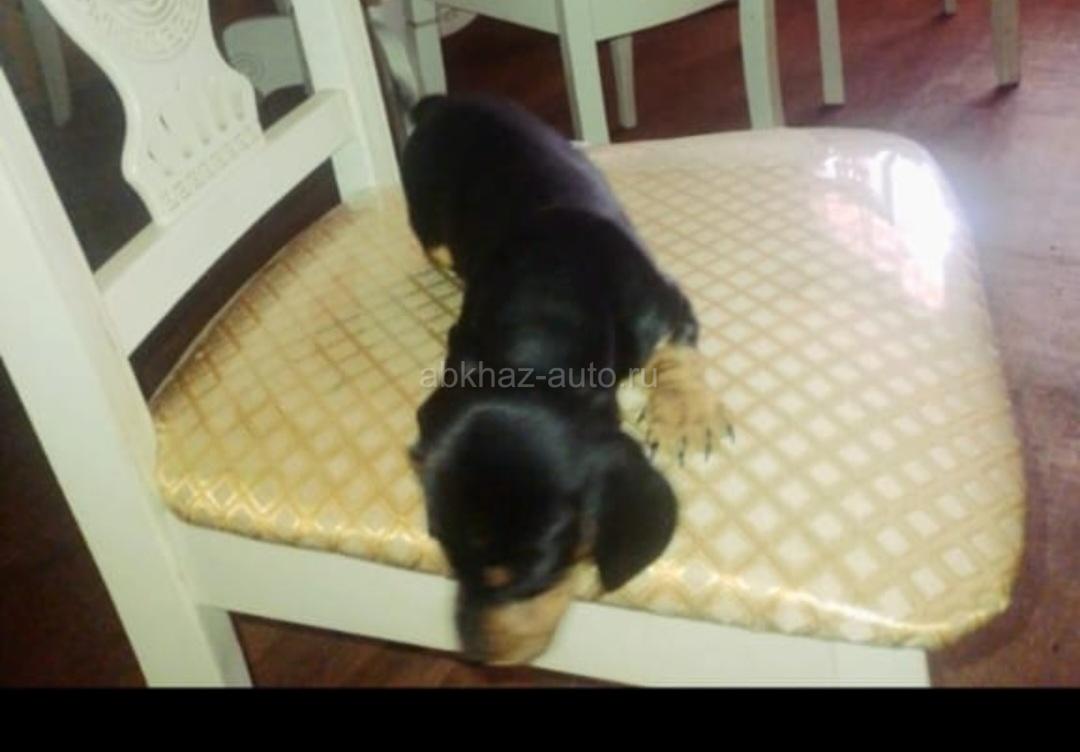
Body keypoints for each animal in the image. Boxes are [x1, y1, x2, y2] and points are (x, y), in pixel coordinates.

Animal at [402, 95, 729, 665]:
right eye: (445, 548)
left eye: (529, 573)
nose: (473, 656)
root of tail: (441, 101)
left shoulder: (665, 302)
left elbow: (675, 356)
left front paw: (684, 416)